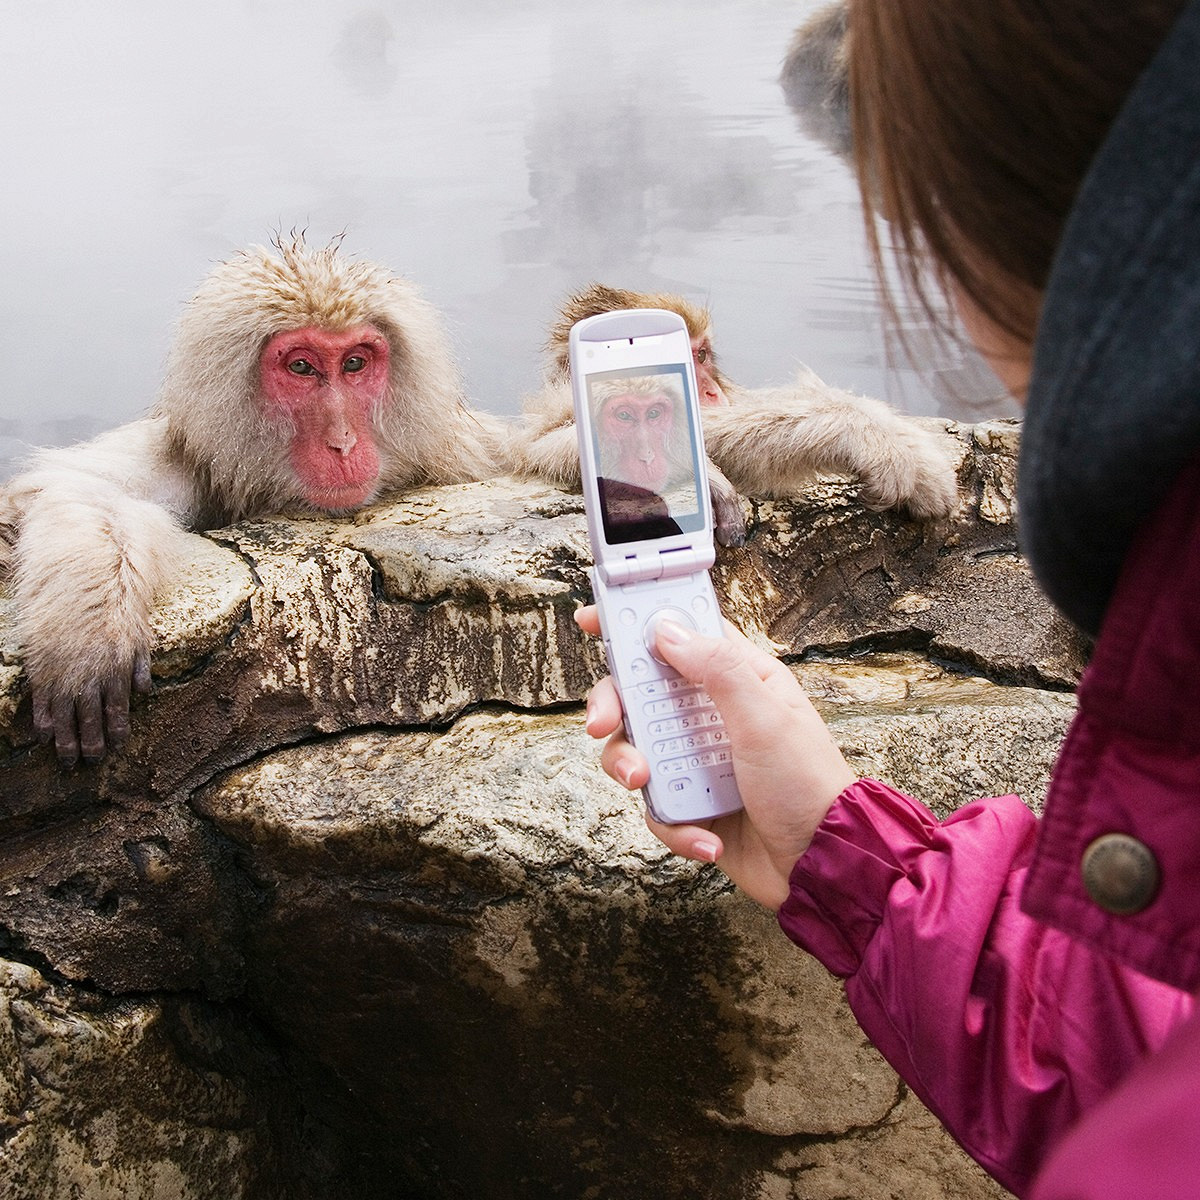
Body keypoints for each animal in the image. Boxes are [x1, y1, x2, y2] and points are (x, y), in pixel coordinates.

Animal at [0, 235, 496, 768]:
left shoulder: (458, 451)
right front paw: (88, 636)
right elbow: (73, 488)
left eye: (354, 363)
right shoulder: (192, 462)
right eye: (301, 366)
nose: (343, 443)